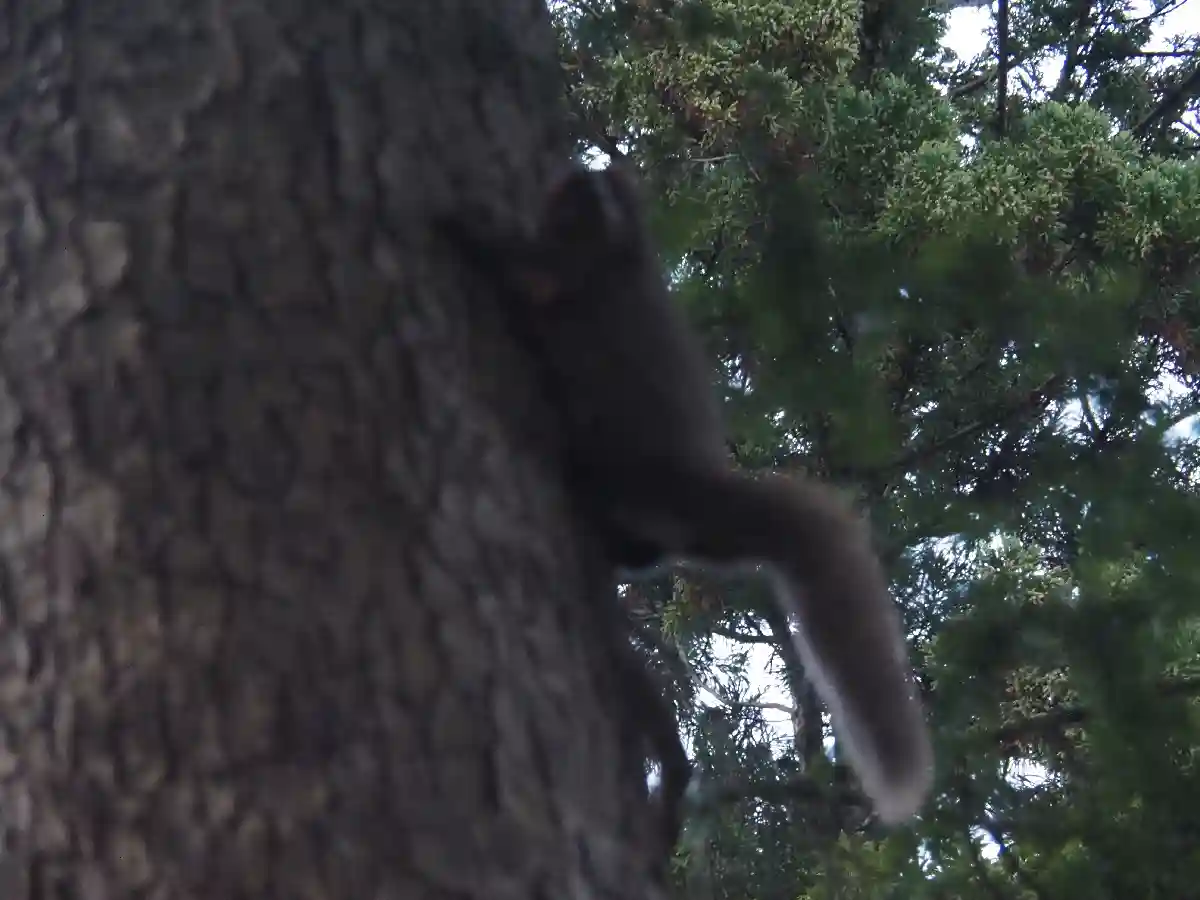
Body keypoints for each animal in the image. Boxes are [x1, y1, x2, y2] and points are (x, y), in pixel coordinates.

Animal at [436, 163, 933, 828]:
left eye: (584, 193)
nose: (576, 176)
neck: (624, 250)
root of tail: (700, 495)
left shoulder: (563, 268)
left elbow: (521, 267)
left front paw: (464, 227)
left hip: (621, 478)